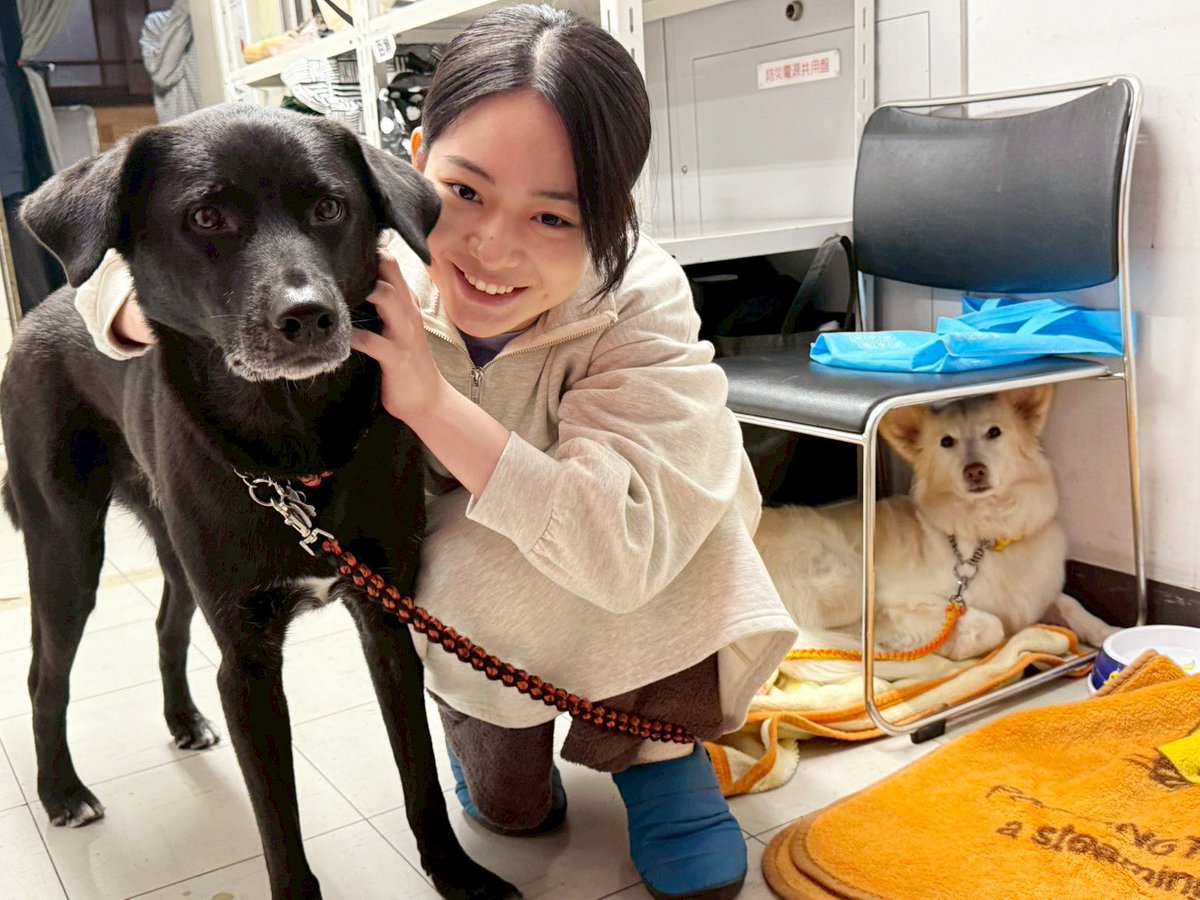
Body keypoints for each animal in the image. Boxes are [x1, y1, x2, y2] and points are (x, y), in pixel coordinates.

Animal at [2, 104, 516, 899]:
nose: (309, 317)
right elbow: (280, 825)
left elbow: (421, 776)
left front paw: (455, 872)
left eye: (330, 208)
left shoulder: (386, 622)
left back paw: (183, 721)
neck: (290, 447)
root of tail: (38, 312)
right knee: (43, 676)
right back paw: (62, 791)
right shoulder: (245, 664)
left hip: (176, 551)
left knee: (166, 625)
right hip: (65, 550)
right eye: (207, 216)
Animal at [754, 386, 1118, 661]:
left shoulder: (1040, 594)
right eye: (946, 442)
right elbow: (991, 625)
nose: (975, 471)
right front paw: (952, 644)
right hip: (849, 579)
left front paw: (1107, 632)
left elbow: (1070, 603)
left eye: (994, 432)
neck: (988, 534)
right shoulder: (899, 598)